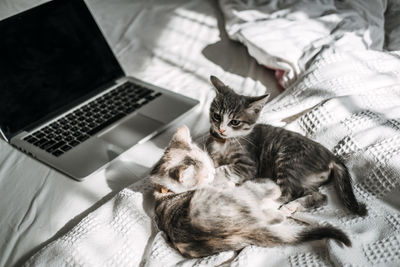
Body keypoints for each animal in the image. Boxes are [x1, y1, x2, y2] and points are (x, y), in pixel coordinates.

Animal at [150, 127, 350, 260]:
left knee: (315, 197)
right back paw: (284, 206)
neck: (164, 193)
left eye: (208, 161)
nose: (212, 172)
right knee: (283, 195)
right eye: (205, 175)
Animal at [208, 75, 368, 216]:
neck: (226, 141)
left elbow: (225, 168)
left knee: (287, 192)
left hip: (289, 162)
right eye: (217, 116)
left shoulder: (249, 164)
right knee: (321, 197)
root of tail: (331, 157)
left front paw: (213, 174)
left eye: (234, 122)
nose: (221, 129)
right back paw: (291, 207)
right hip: (306, 179)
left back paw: (267, 204)